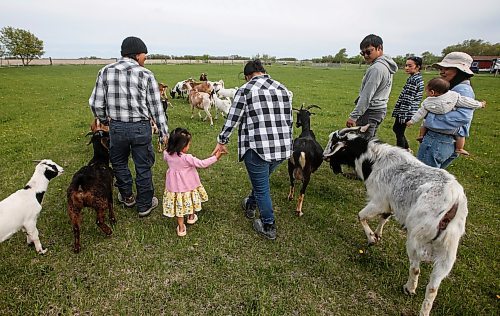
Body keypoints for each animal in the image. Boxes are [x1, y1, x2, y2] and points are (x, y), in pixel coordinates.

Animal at [324, 126, 468, 316]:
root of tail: (454, 202)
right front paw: (378, 234)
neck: (372, 159)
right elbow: (384, 217)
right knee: (433, 287)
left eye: (334, 142)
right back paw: (423, 308)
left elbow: (361, 216)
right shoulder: (389, 204)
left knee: (415, 267)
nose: (324, 156)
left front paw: (372, 238)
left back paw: (409, 288)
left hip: (416, 239)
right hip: (449, 251)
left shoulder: (379, 200)